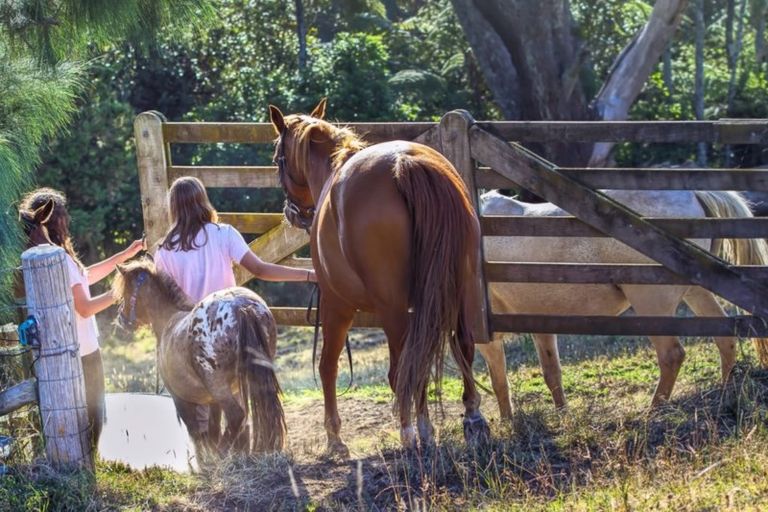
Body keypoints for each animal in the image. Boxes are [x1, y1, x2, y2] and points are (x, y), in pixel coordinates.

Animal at [112, 260, 284, 456]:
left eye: (125, 292)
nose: (122, 319)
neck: (168, 321)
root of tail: (241, 307)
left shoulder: (181, 399)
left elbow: (197, 434)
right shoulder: (212, 401)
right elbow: (213, 429)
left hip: (217, 384)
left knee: (236, 416)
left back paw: (221, 454)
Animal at [268, 99, 486, 452]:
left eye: (278, 159)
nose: (291, 212)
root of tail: (405, 164)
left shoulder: (336, 304)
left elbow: (328, 366)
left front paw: (334, 435)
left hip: (391, 305)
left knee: (402, 369)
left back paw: (411, 432)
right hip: (461, 288)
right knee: (460, 346)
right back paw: (471, 418)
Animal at [474, 189, 768, 420]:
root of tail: (693, 195)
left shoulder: (486, 340)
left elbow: (498, 382)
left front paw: (507, 423)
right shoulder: (541, 326)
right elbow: (551, 374)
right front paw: (562, 415)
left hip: (653, 305)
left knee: (671, 355)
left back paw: (654, 410)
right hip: (697, 291)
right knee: (725, 339)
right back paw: (726, 394)